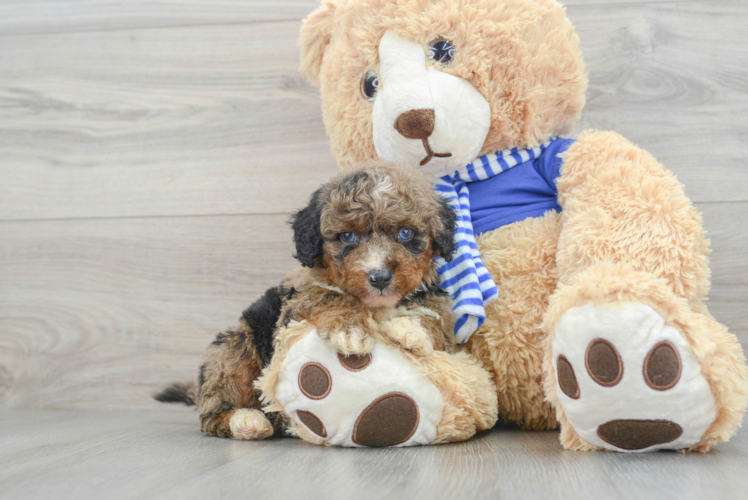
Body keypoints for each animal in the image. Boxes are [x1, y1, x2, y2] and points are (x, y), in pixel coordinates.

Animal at [158, 162, 456, 440]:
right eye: (348, 236)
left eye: (406, 233)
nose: (380, 277)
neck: (375, 305)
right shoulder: (296, 302)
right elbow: (330, 297)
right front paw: (350, 330)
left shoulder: (439, 306)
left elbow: (436, 316)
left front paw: (413, 330)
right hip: (235, 348)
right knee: (212, 412)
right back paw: (246, 420)